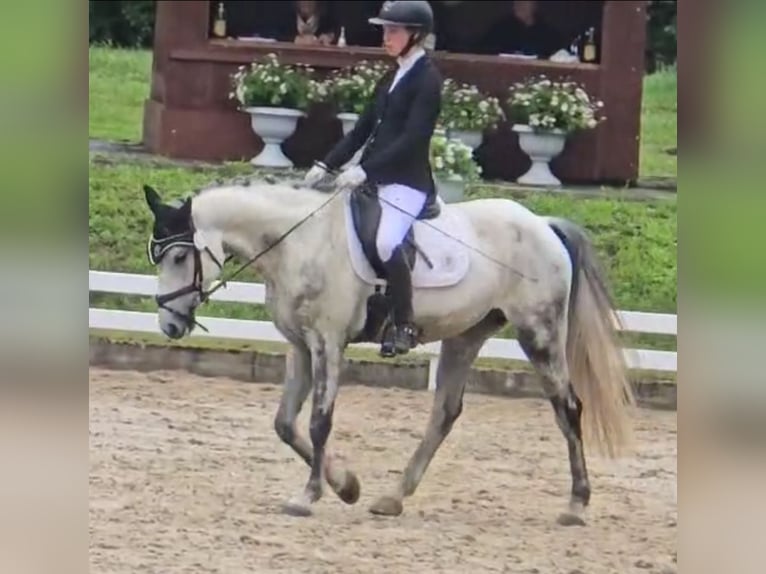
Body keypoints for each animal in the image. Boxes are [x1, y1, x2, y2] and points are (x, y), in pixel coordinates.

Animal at [142, 176, 635, 525]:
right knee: (445, 413)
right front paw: (347, 486)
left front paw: (309, 496)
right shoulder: (299, 346)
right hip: (466, 335)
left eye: (180, 257)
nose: (169, 324)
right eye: (157, 256)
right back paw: (392, 498)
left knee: (567, 407)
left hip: (539, 332)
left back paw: (576, 504)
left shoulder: (327, 343)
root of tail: (543, 224)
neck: (299, 242)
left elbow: (319, 422)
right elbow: (284, 424)